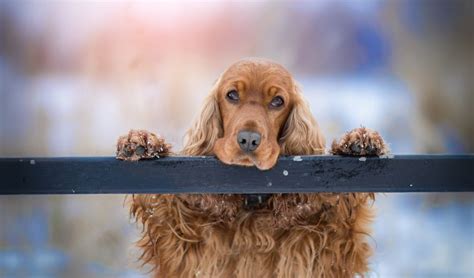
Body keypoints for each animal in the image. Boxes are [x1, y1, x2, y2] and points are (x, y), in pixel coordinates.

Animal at [116, 57, 386, 276]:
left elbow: (344, 215)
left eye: (278, 101)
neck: (252, 202)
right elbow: (164, 206)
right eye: (232, 95)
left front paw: (357, 141)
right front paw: (141, 142)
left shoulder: (326, 245)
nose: (248, 140)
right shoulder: (181, 243)